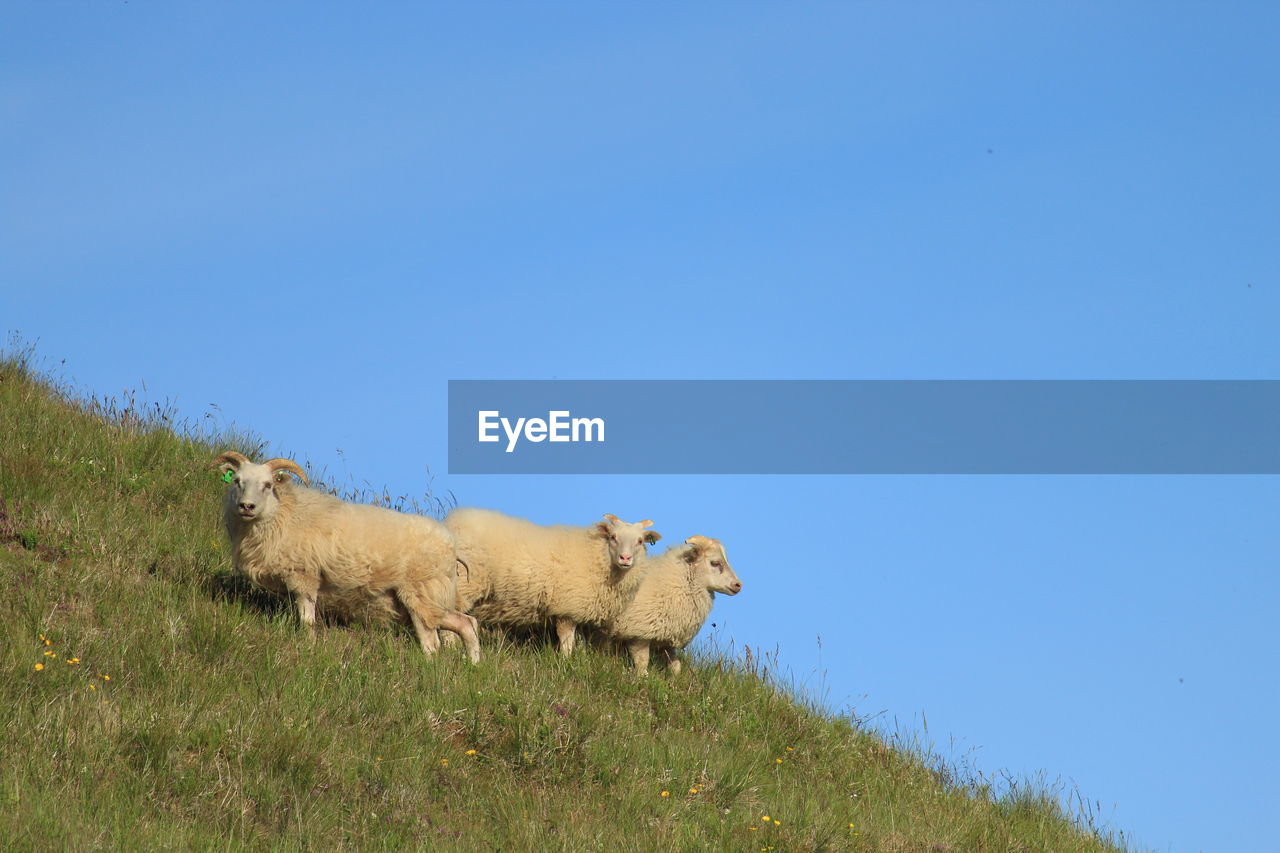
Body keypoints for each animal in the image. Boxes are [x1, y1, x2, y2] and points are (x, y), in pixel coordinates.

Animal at [215, 448, 481, 660]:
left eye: (268, 485)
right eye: (237, 480)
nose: (246, 506)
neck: (285, 513)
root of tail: (451, 546)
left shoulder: (305, 575)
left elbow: (308, 620)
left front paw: (308, 646)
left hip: (421, 593)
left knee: (434, 642)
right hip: (422, 599)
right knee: (466, 623)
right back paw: (472, 664)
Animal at [445, 507, 660, 653]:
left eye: (640, 541)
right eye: (613, 537)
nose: (625, 558)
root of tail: (450, 524)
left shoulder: (580, 612)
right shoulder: (567, 608)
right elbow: (567, 641)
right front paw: (566, 662)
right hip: (463, 584)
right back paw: (450, 649)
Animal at [606, 535, 747, 676]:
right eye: (715, 563)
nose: (738, 585)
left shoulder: (666, 641)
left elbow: (676, 666)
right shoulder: (638, 633)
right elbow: (642, 664)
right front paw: (641, 678)